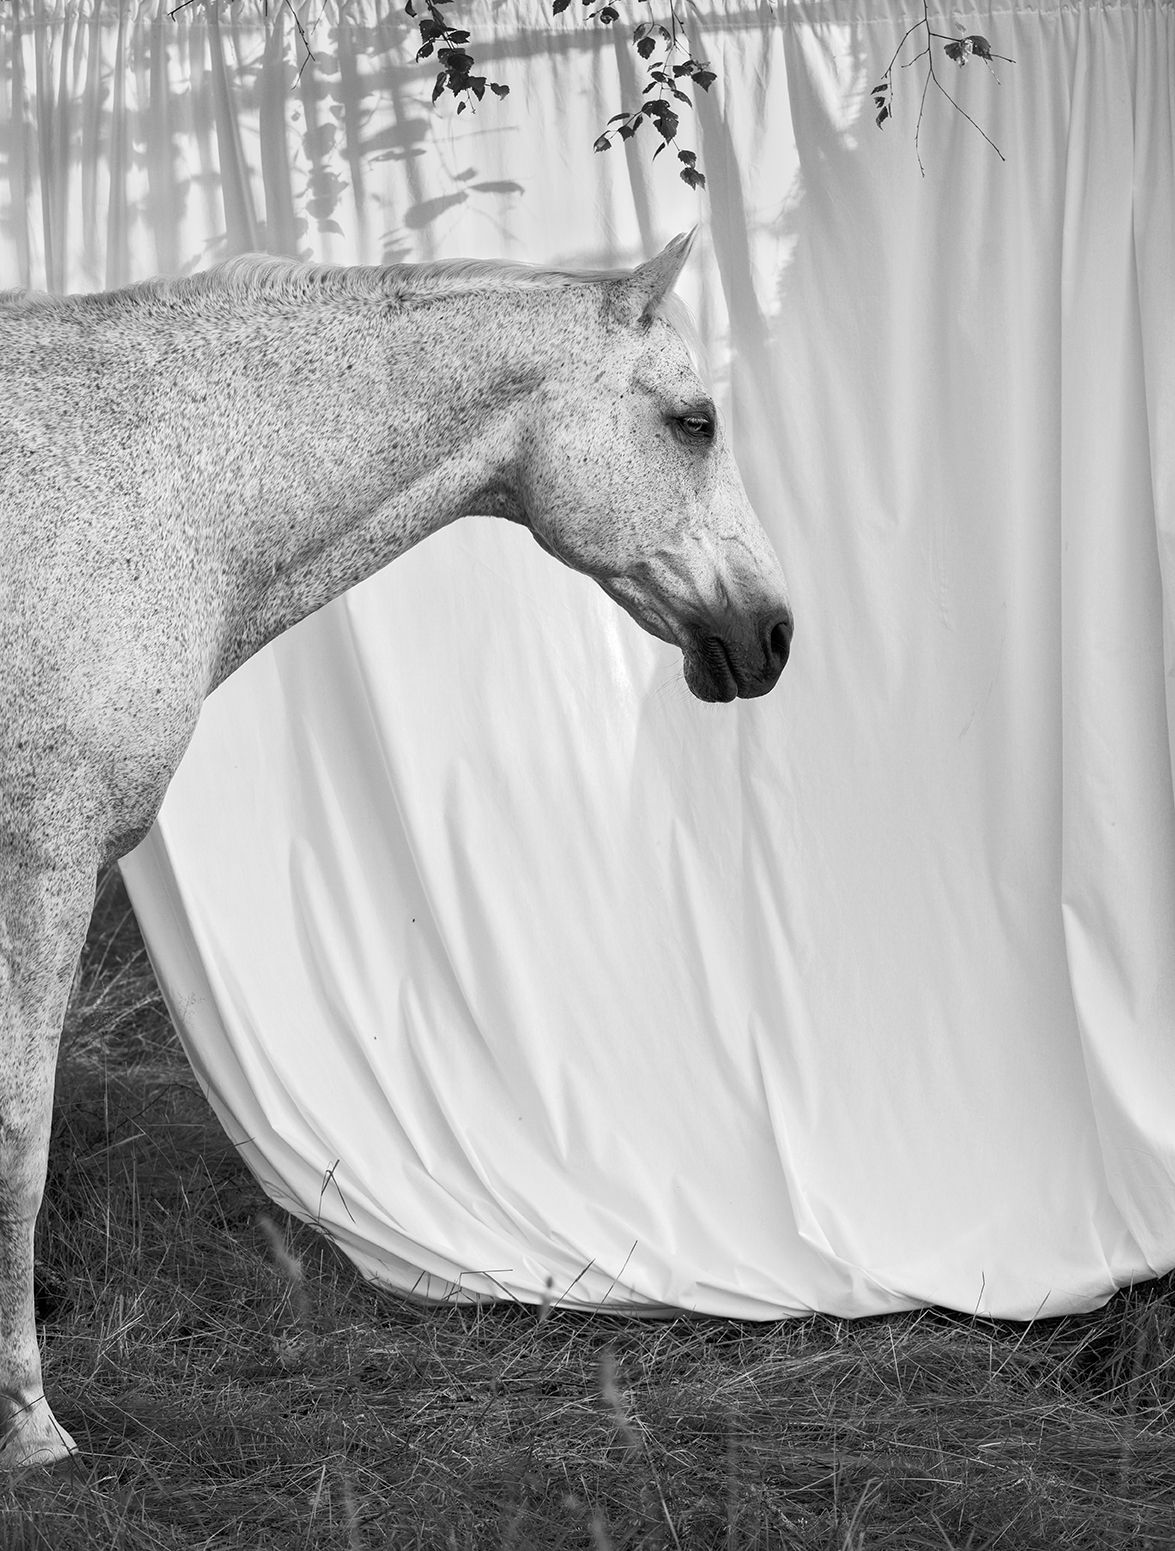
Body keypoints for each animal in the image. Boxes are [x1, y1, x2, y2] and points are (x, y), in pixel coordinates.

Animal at [0, 230, 792, 1468]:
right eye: (694, 421)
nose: (772, 635)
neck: (135, 486)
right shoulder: (41, 861)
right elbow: (22, 1142)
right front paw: (29, 1426)